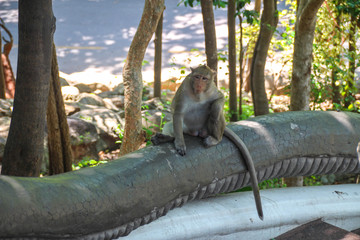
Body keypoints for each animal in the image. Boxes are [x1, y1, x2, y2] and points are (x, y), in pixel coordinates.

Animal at [150, 65, 262, 219]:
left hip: (208, 129)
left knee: (216, 114)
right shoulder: (184, 90)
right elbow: (178, 115)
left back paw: (215, 138)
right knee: (171, 125)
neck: (198, 95)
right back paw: (167, 138)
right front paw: (179, 144)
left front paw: (215, 107)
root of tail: (196, 132)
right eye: (197, 77)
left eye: (204, 78)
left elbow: (219, 99)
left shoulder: (212, 90)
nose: (199, 84)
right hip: (186, 130)